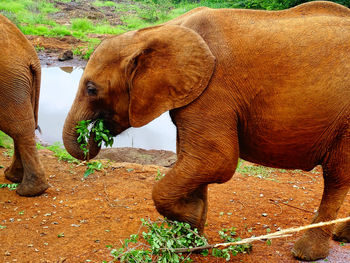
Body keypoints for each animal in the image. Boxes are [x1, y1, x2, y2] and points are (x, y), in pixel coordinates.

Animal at [0, 13, 48, 196]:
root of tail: (31, 56)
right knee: (22, 125)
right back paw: (13, 177)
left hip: (8, 80)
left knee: (19, 128)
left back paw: (28, 191)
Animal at [63, 1, 350, 262]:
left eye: (91, 89)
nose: (93, 134)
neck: (158, 31)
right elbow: (193, 161)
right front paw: (191, 241)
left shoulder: (213, 89)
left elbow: (215, 160)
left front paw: (189, 223)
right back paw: (341, 236)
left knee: (336, 177)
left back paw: (306, 253)